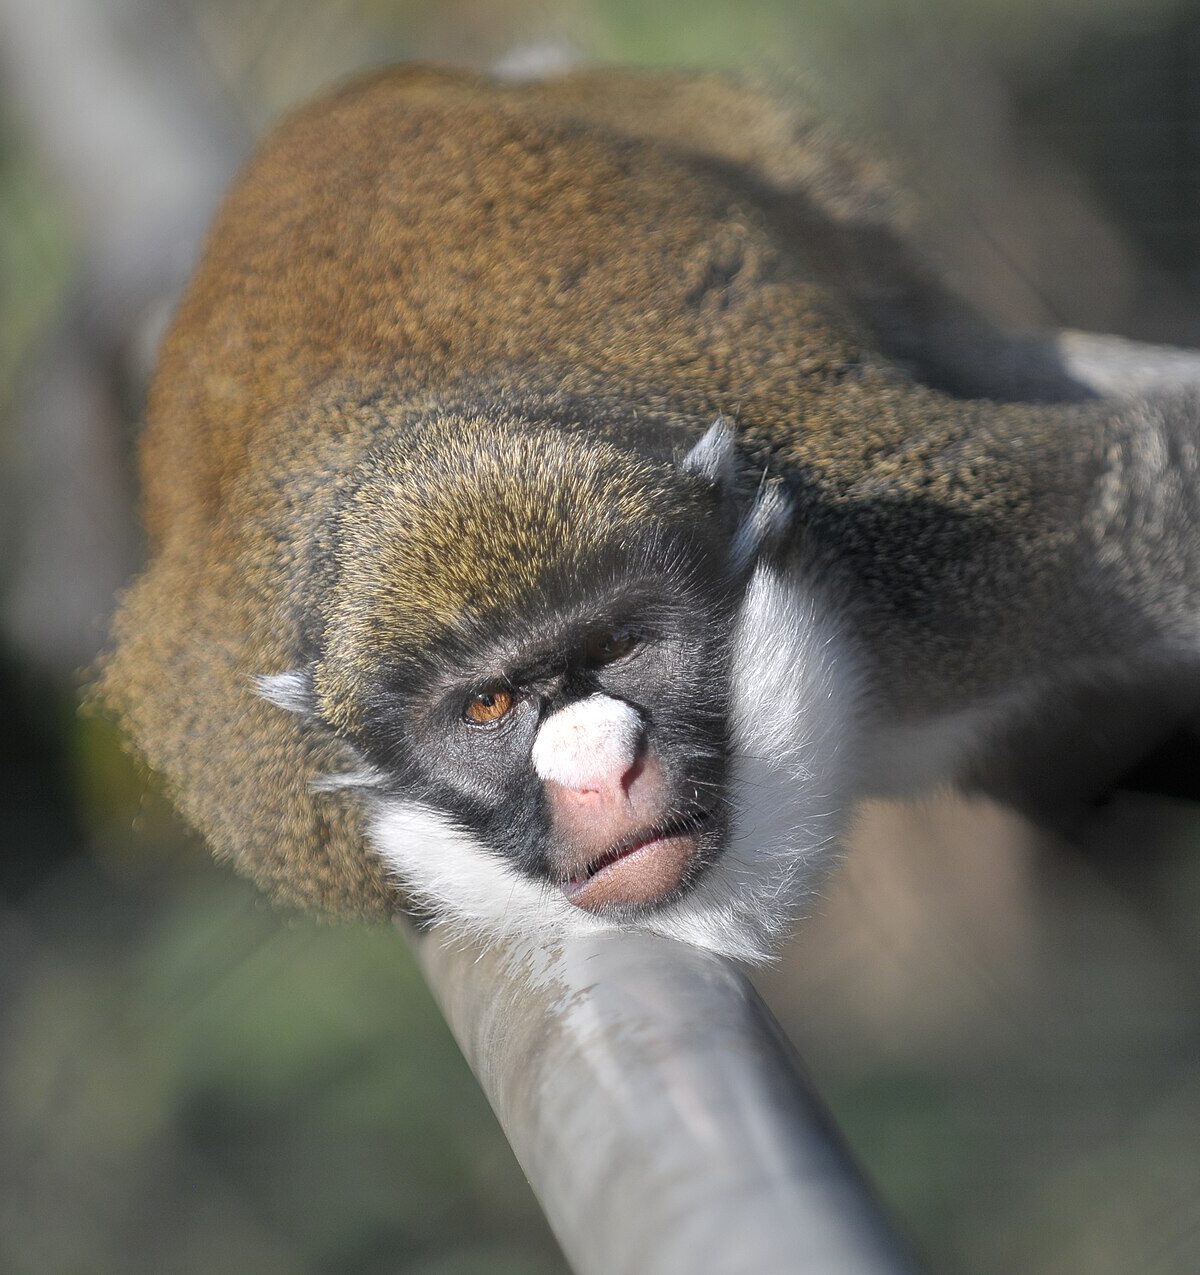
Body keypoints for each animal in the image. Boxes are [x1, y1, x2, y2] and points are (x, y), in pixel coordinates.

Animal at [99, 65, 1200, 963]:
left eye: (620, 647)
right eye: (487, 706)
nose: (599, 772)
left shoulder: (945, 564)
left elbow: (1146, 482)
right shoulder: (278, 808)